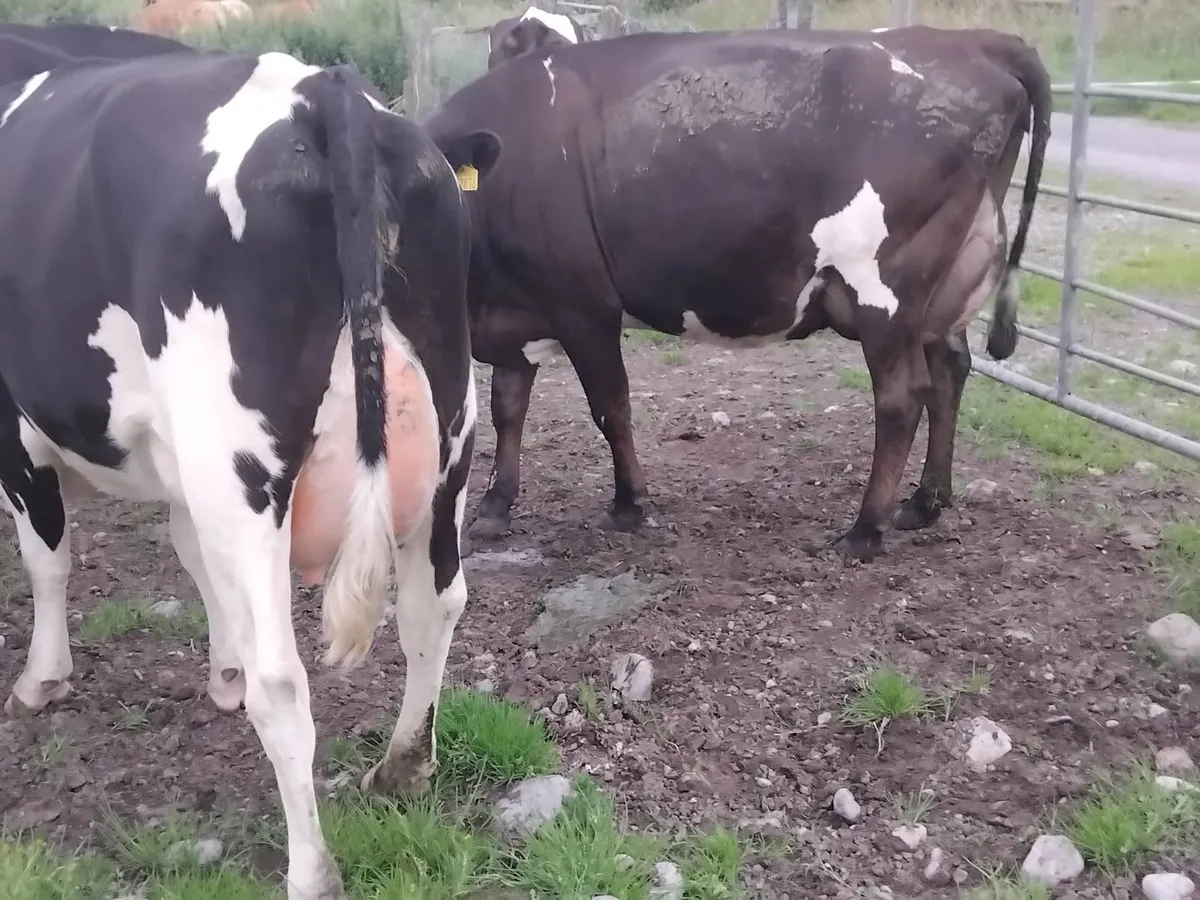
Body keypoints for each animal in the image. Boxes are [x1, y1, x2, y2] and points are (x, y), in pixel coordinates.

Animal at [0, 49, 500, 899]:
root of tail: (320, 89)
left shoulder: (13, 423)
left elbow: (48, 555)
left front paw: (43, 677)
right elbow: (194, 558)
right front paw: (221, 668)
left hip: (237, 458)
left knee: (286, 682)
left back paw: (311, 870)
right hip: (449, 431)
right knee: (433, 606)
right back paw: (401, 768)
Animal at [422, 26, 1051, 562]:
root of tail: (970, 40)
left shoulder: (585, 307)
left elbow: (610, 408)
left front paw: (629, 504)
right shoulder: (519, 312)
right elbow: (508, 407)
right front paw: (495, 506)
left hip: (884, 291)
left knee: (902, 398)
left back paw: (865, 529)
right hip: (943, 289)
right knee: (950, 369)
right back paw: (925, 502)